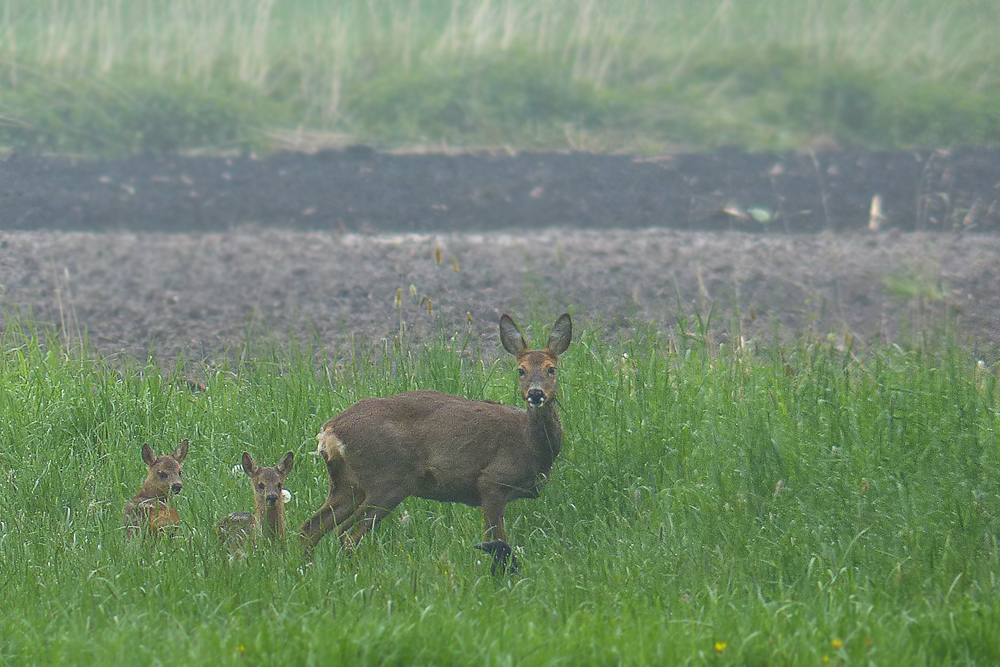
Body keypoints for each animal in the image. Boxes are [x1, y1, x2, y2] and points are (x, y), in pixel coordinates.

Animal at [298, 314, 572, 576]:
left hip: (347, 484)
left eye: (551, 369)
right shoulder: (492, 481)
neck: (531, 445)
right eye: (520, 370)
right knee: (346, 534)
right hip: (388, 479)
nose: (535, 394)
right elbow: (495, 540)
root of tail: (329, 431)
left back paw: (305, 570)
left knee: (311, 527)